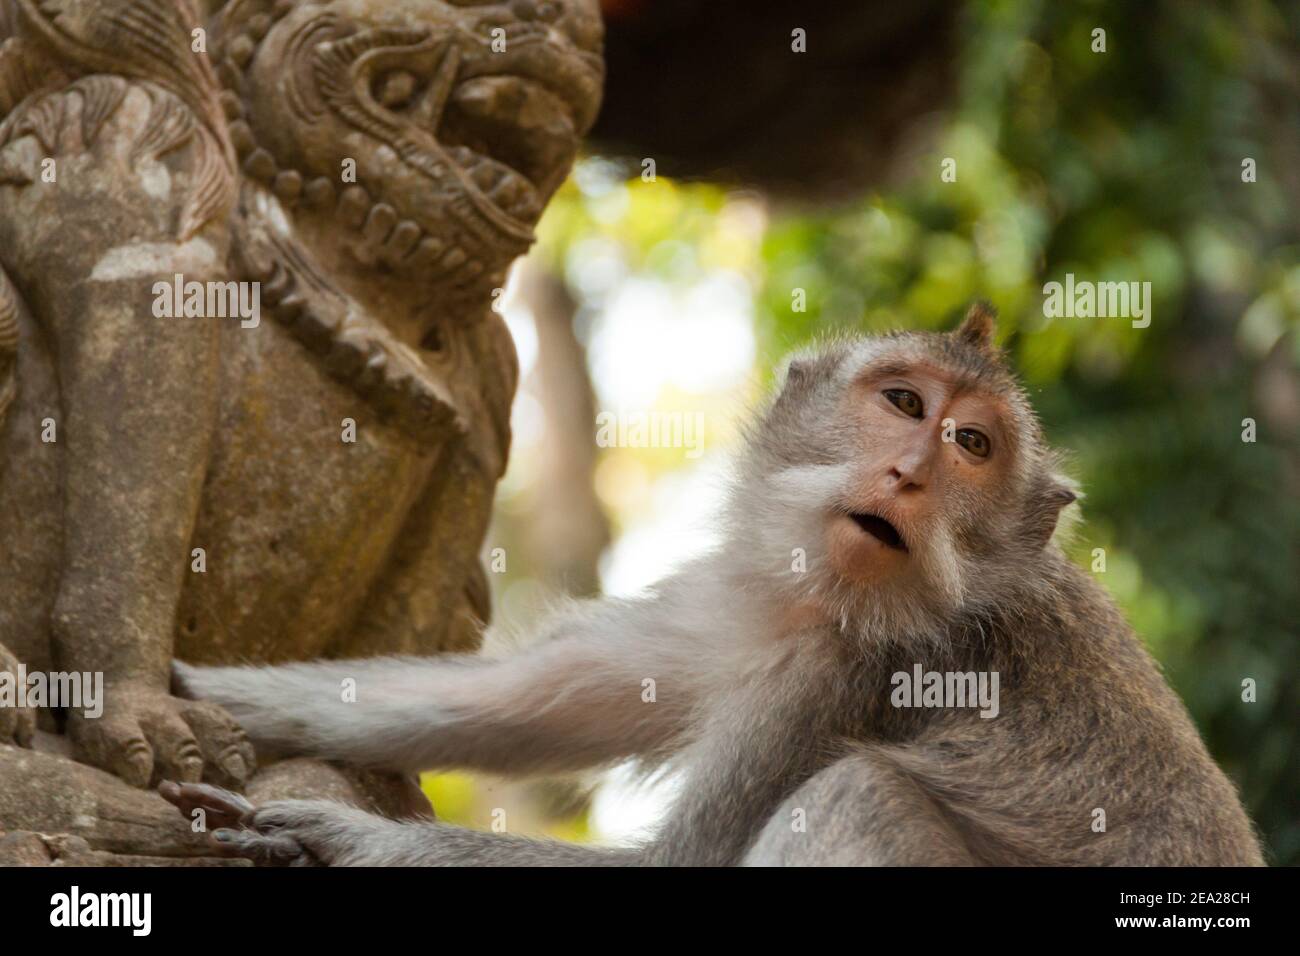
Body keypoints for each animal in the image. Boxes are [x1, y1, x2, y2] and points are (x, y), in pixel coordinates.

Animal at [167, 306, 1263, 868]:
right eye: (904, 403)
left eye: (974, 446)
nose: (910, 472)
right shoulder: (755, 593)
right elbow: (525, 704)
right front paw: (181, 689)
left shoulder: (852, 675)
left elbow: (678, 865)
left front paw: (346, 836)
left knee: (859, 795)